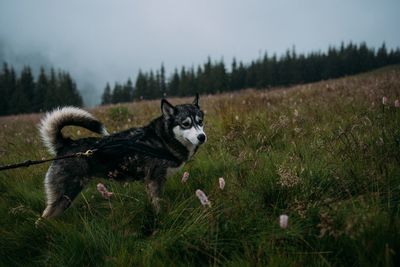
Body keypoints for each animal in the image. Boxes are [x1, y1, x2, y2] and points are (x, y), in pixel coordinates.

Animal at [38, 95, 206, 219]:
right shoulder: (154, 181)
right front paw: (162, 217)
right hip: (64, 196)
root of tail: (66, 144)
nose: (202, 137)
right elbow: (158, 205)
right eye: (185, 124)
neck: (162, 139)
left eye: (200, 122)